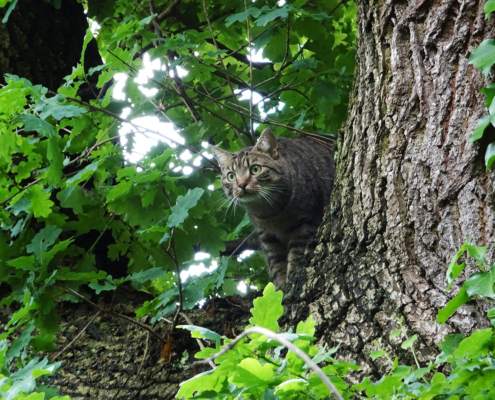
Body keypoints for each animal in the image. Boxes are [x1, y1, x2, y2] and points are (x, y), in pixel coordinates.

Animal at [211, 126, 336, 290]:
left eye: (255, 169)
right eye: (231, 176)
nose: (242, 184)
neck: (270, 213)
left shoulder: (306, 225)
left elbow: (296, 256)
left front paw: (291, 280)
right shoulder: (268, 237)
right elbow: (276, 264)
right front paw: (280, 288)